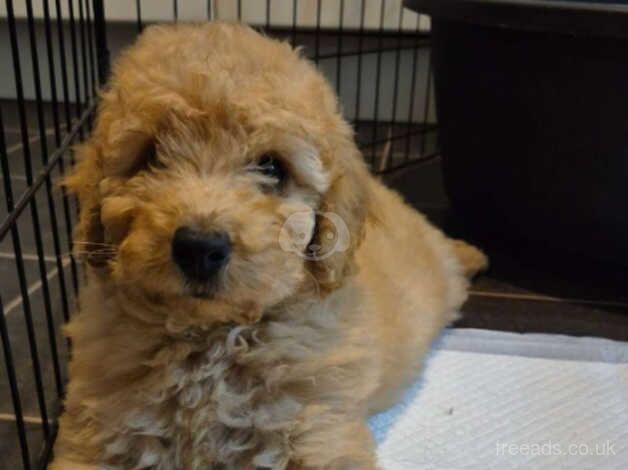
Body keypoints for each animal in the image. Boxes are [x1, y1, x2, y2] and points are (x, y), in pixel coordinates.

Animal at [52, 22, 486, 470]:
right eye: (151, 156)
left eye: (272, 166)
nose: (199, 247)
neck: (209, 340)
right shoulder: (98, 430)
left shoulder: (316, 432)